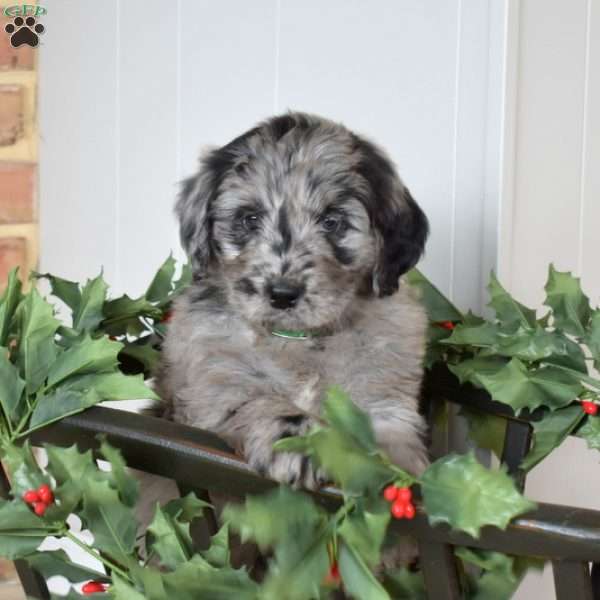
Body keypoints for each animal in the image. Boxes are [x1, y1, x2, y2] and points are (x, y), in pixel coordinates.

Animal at [158, 112, 432, 488]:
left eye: (331, 221)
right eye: (250, 219)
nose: (283, 294)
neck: (297, 341)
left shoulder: (386, 396)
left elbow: (393, 439)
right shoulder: (217, 386)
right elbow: (259, 402)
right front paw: (303, 443)